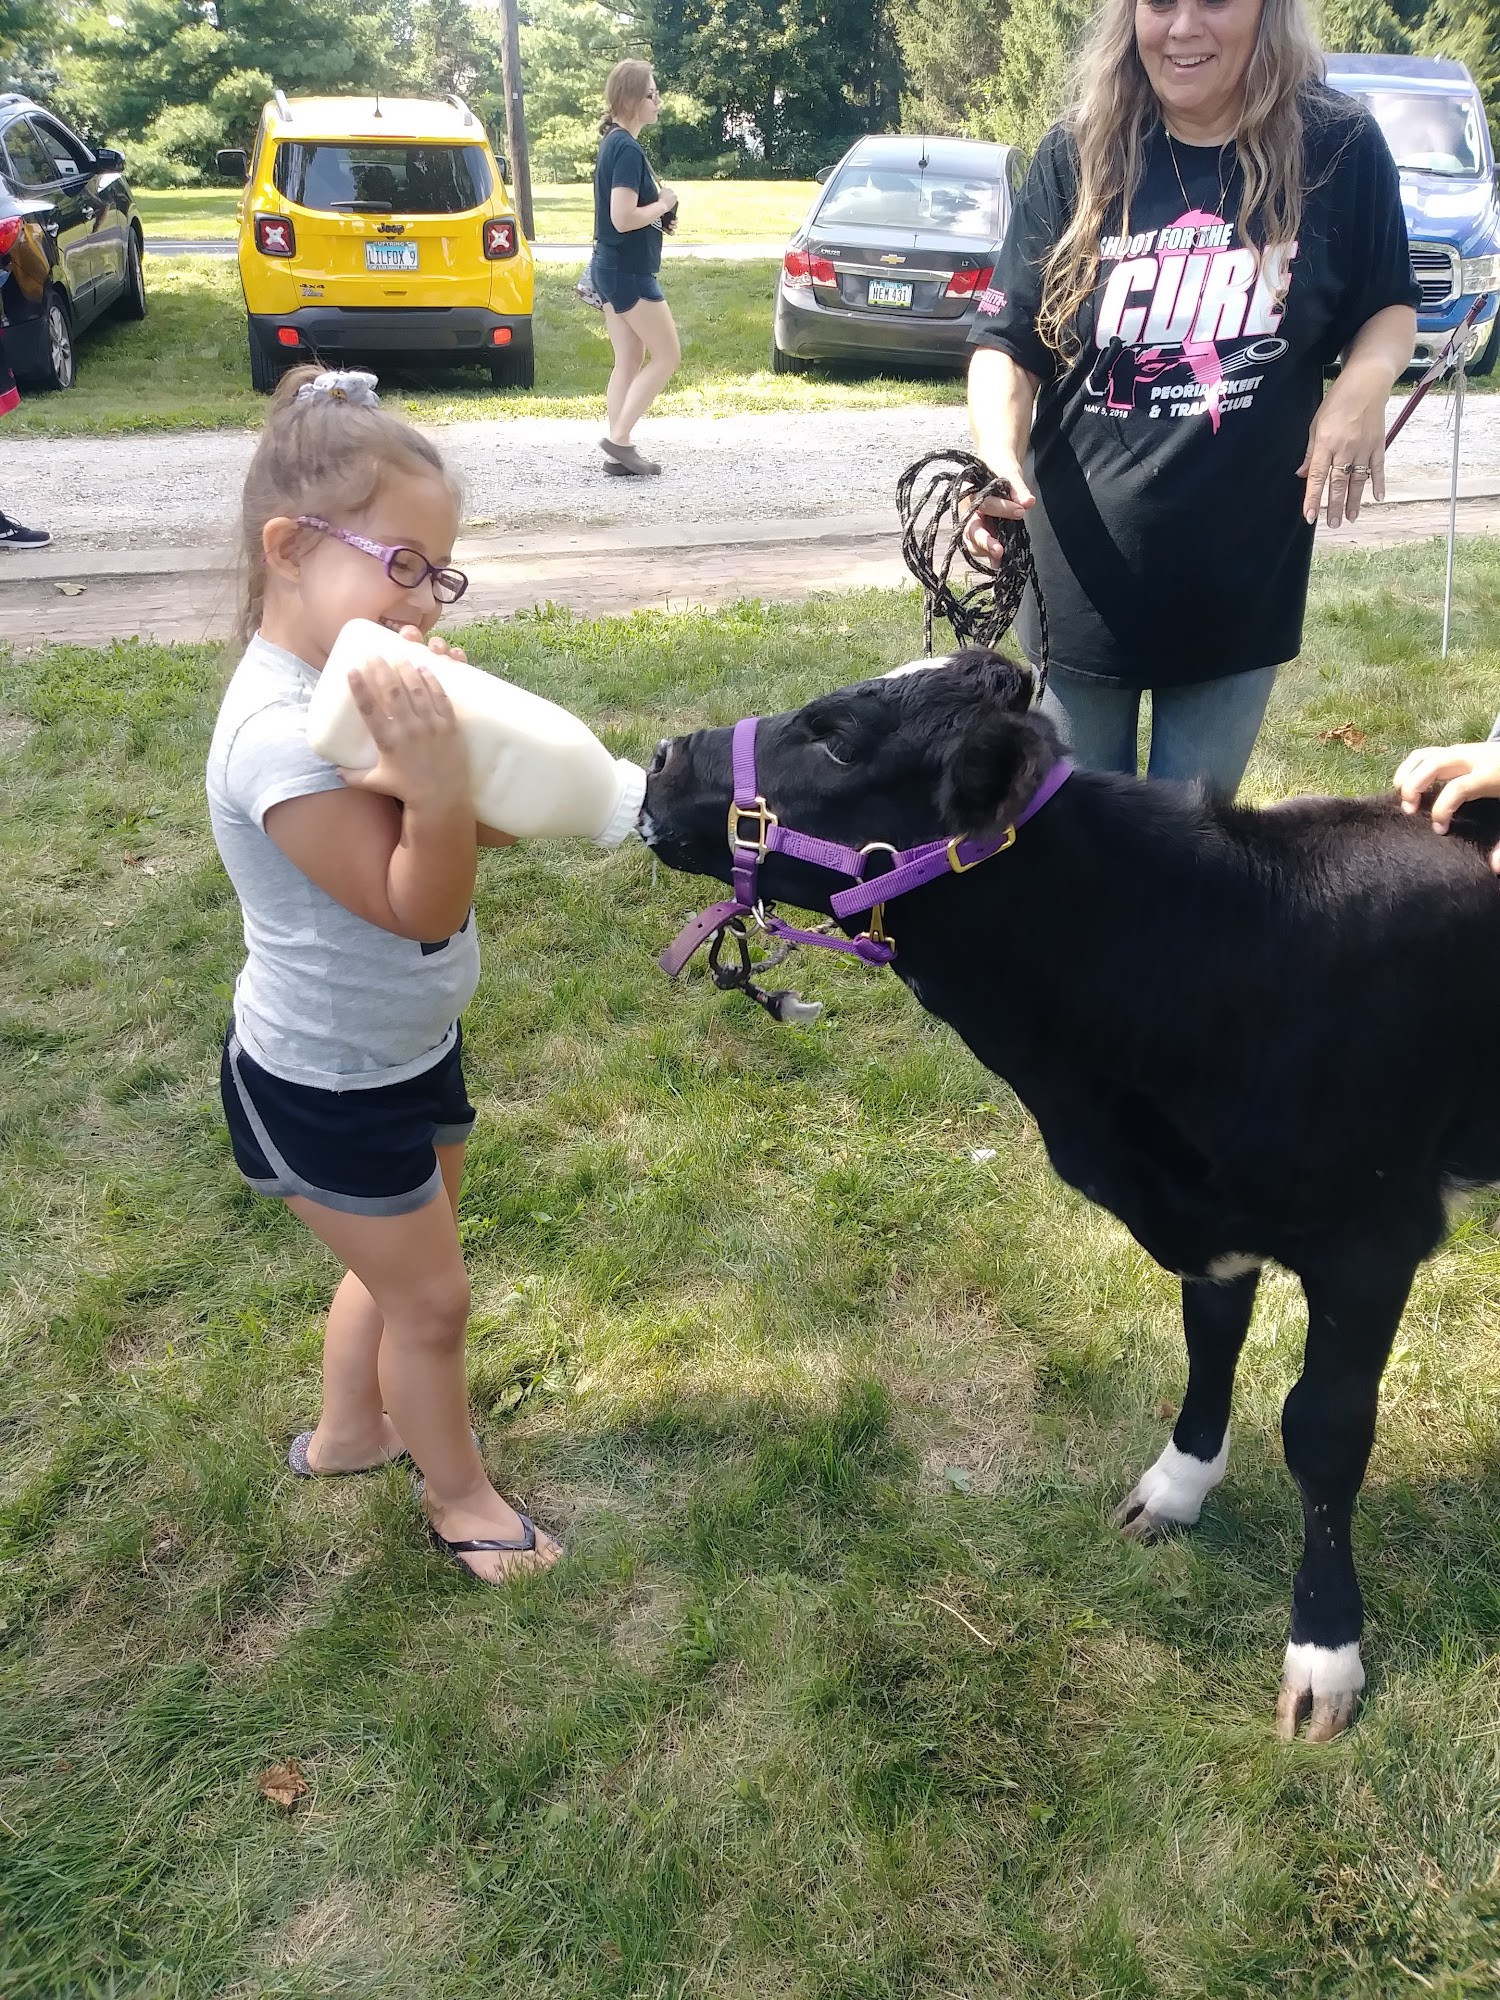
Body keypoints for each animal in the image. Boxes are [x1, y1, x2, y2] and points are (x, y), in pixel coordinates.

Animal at [639, 648, 1500, 1742]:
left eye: (835, 738)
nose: (662, 758)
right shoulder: (1209, 1221)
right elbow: (1208, 1339)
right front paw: (1177, 1487)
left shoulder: (1370, 1239)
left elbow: (1324, 1431)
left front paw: (1325, 1650)